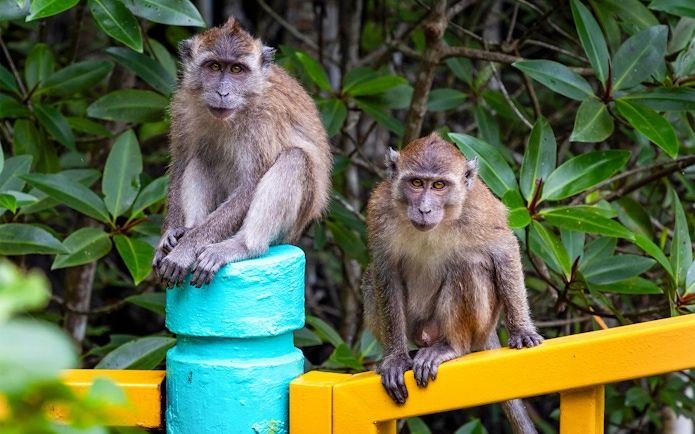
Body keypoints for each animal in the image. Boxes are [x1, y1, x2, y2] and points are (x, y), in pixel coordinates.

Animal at [152, 17, 332, 289]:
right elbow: (181, 164)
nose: (222, 93)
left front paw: (185, 250)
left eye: (237, 70)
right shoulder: (183, 106)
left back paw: (242, 246)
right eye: (215, 66)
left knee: (295, 159)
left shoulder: (264, 122)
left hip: (290, 229)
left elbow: (251, 186)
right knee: (202, 156)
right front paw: (170, 236)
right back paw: (190, 228)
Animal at [361, 133, 543, 433]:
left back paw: (450, 348)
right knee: (369, 278)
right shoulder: (380, 210)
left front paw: (521, 330)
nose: (424, 209)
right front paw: (395, 358)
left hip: (480, 324)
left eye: (439, 185)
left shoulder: (479, 209)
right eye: (416, 183)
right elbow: (385, 270)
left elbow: (503, 247)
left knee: (467, 265)